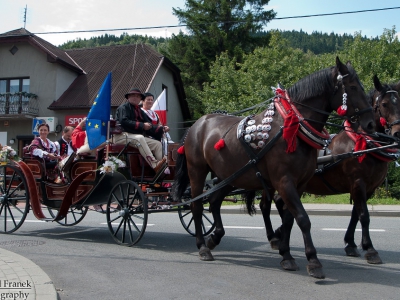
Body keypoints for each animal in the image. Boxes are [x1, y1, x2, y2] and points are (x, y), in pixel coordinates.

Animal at [173, 56, 376, 278]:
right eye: (353, 87)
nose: (371, 123)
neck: (293, 128)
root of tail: (197, 124)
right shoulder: (284, 182)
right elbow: (303, 218)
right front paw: (313, 261)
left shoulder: (299, 184)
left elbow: (289, 219)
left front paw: (286, 254)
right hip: (197, 171)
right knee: (197, 206)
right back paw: (202, 246)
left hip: (230, 175)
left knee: (215, 201)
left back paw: (214, 238)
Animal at [266, 74, 400, 262]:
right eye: (385, 104)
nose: (397, 132)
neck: (362, 144)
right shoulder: (358, 183)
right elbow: (364, 216)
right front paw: (370, 248)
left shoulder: (369, 188)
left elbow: (356, 214)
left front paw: (350, 243)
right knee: (267, 206)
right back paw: (274, 236)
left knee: (281, 203)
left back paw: (279, 234)